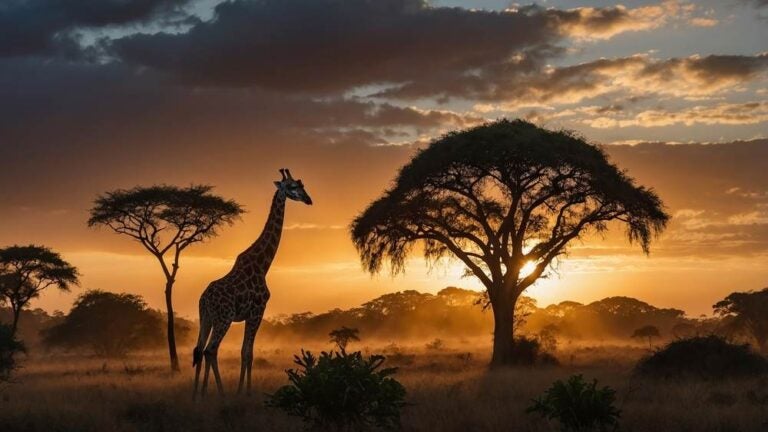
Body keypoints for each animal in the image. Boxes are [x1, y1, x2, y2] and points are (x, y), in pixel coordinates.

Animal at [192, 168, 312, 399]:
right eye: (292, 186)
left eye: (302, 185)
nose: (309, 200)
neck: (262, 265)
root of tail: (204, 299)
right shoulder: (258, 311)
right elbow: (248, 352)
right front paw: (244, 393)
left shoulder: (250, 314)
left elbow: (244, 352)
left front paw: (242, 390)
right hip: (224, 318)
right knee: (211, 350)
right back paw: (221, 394)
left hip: (206, 318)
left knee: (200, 350)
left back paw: (198, 396)